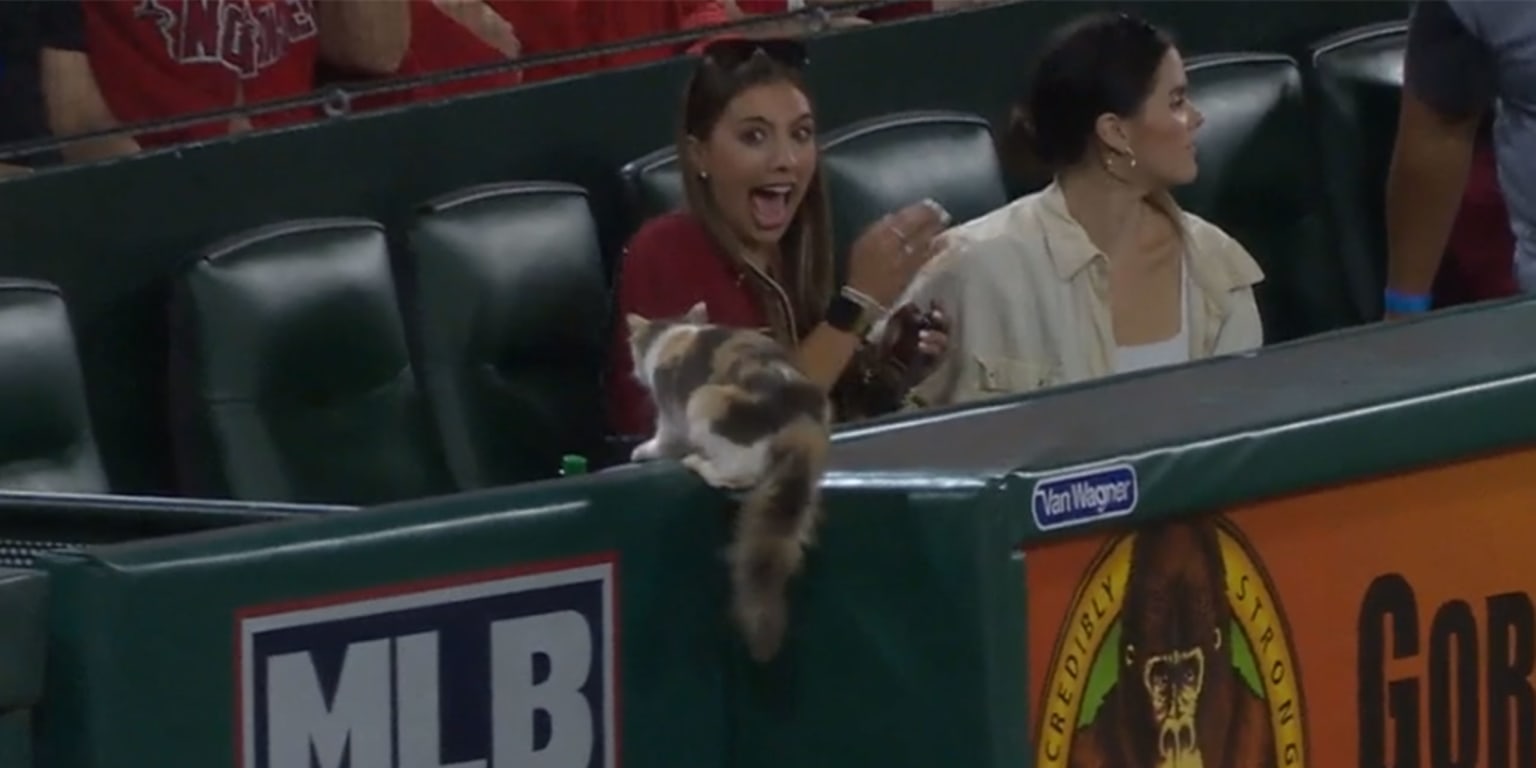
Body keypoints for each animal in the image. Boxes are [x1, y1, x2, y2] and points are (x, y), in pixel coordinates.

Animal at [626, 299, 835, 660]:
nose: (634, 370)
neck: (674, 332)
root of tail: (801, 417)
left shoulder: (671, 414)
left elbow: (663, 440)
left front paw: (644, 451)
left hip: (707, 401)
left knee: (740, 472)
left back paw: (701, 463)